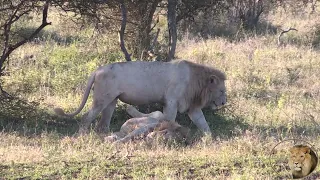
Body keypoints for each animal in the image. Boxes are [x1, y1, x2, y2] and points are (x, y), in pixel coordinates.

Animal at [54, 60, 225, 135]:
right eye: (222, 91)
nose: (224, 102)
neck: (197, 83)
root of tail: (97, 70)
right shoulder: (171, 102)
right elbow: (169, 119)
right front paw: (168, 129)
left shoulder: (192, 107)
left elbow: (203, 123)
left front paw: (210, 139)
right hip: (101, 99)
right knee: (86, 117)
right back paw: (82, 135)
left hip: (111, 101)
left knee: (103, 122)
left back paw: (106, 135)